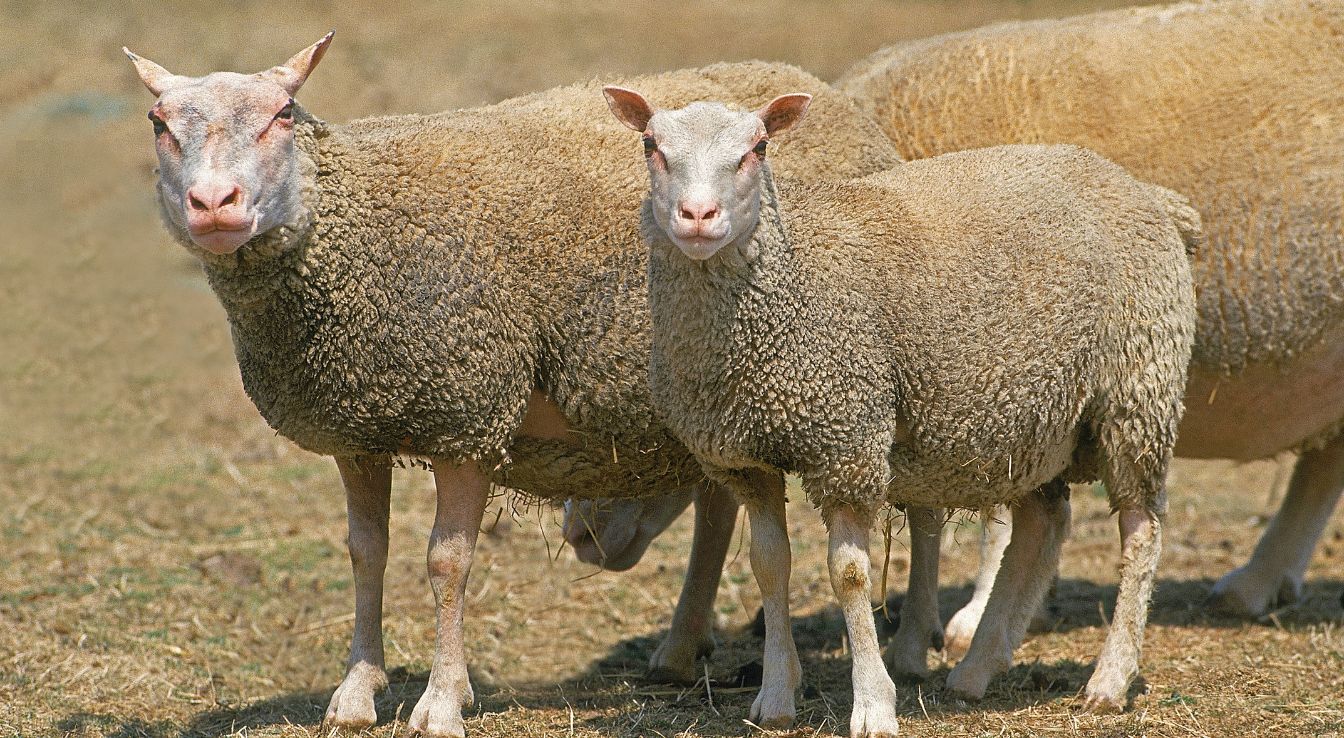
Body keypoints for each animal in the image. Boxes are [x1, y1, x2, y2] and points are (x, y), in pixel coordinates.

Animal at [123, 34, 904, 737]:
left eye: (283, 115)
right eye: (159, 124)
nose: (214, 203)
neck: (360, 225)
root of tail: (819, 91)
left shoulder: (468, 410)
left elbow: (447, 563)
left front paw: (440, 703)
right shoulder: (361, 427)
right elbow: (366, 553)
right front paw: (356, 692)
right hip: (717, 390)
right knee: (720, 508)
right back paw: (688, 650)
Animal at [604, 86, 1199, 732]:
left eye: (757, 148)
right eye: (651, 145)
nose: (698, 216)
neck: (786, 298)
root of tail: (1143, 190)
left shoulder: (848, 440)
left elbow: (848, 574)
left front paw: (872, 705)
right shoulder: (745, 460)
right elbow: (769, 566)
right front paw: (776, 696)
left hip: (1137, 390)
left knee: (1141, 533)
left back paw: (1109, 679)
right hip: (1036, 421)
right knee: (1043, 526)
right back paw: (976, 670)